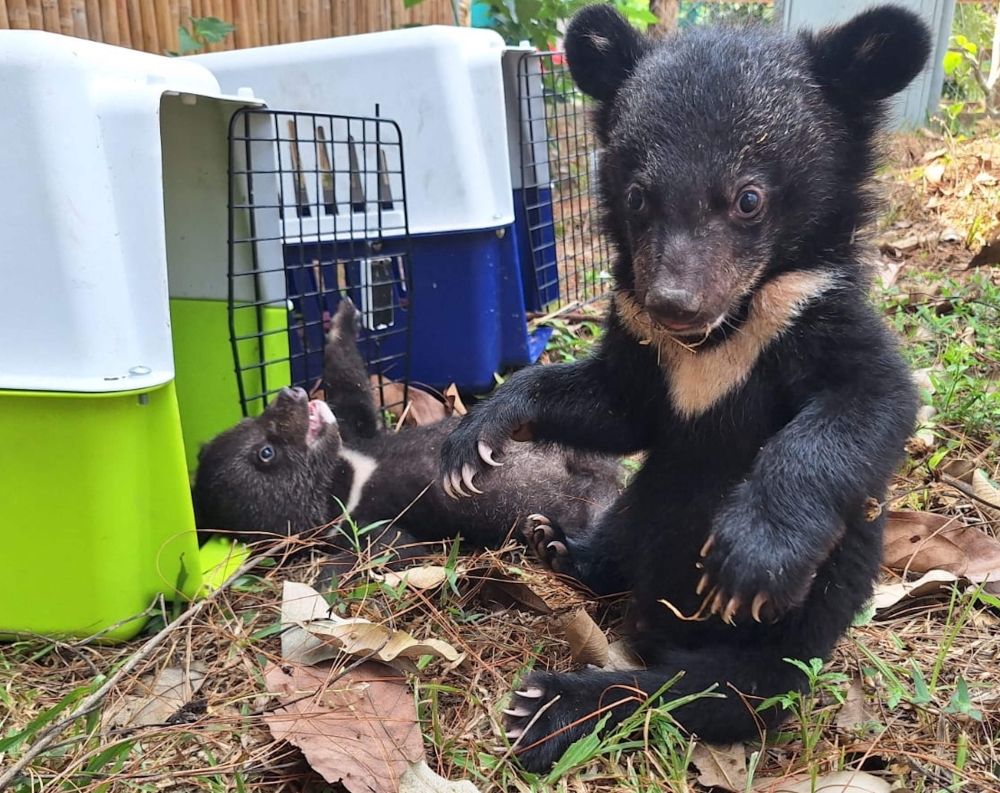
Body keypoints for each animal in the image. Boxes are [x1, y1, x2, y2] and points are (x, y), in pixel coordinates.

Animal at [192, 299, 624, 563]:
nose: (289, 392)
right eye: (265, 453)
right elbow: (398, 549)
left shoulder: (358, 433)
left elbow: (351, 390)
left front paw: (344, 316)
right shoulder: (365, 525)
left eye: (249, 421)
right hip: (583, 503)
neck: (348, 476)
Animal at [439, 3, 927, 772]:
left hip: (775, 653)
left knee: (687, 692)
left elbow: (867, 400)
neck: (722, 338)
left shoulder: (816, 313)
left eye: (749, 198)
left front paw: (750, 559)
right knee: (623, 539)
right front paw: (475, 439)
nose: (674, 303)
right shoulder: (641, 343)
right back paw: (559, 546)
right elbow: (618, 408)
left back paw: (548, 706)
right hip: (639, 503)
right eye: (639, 197)